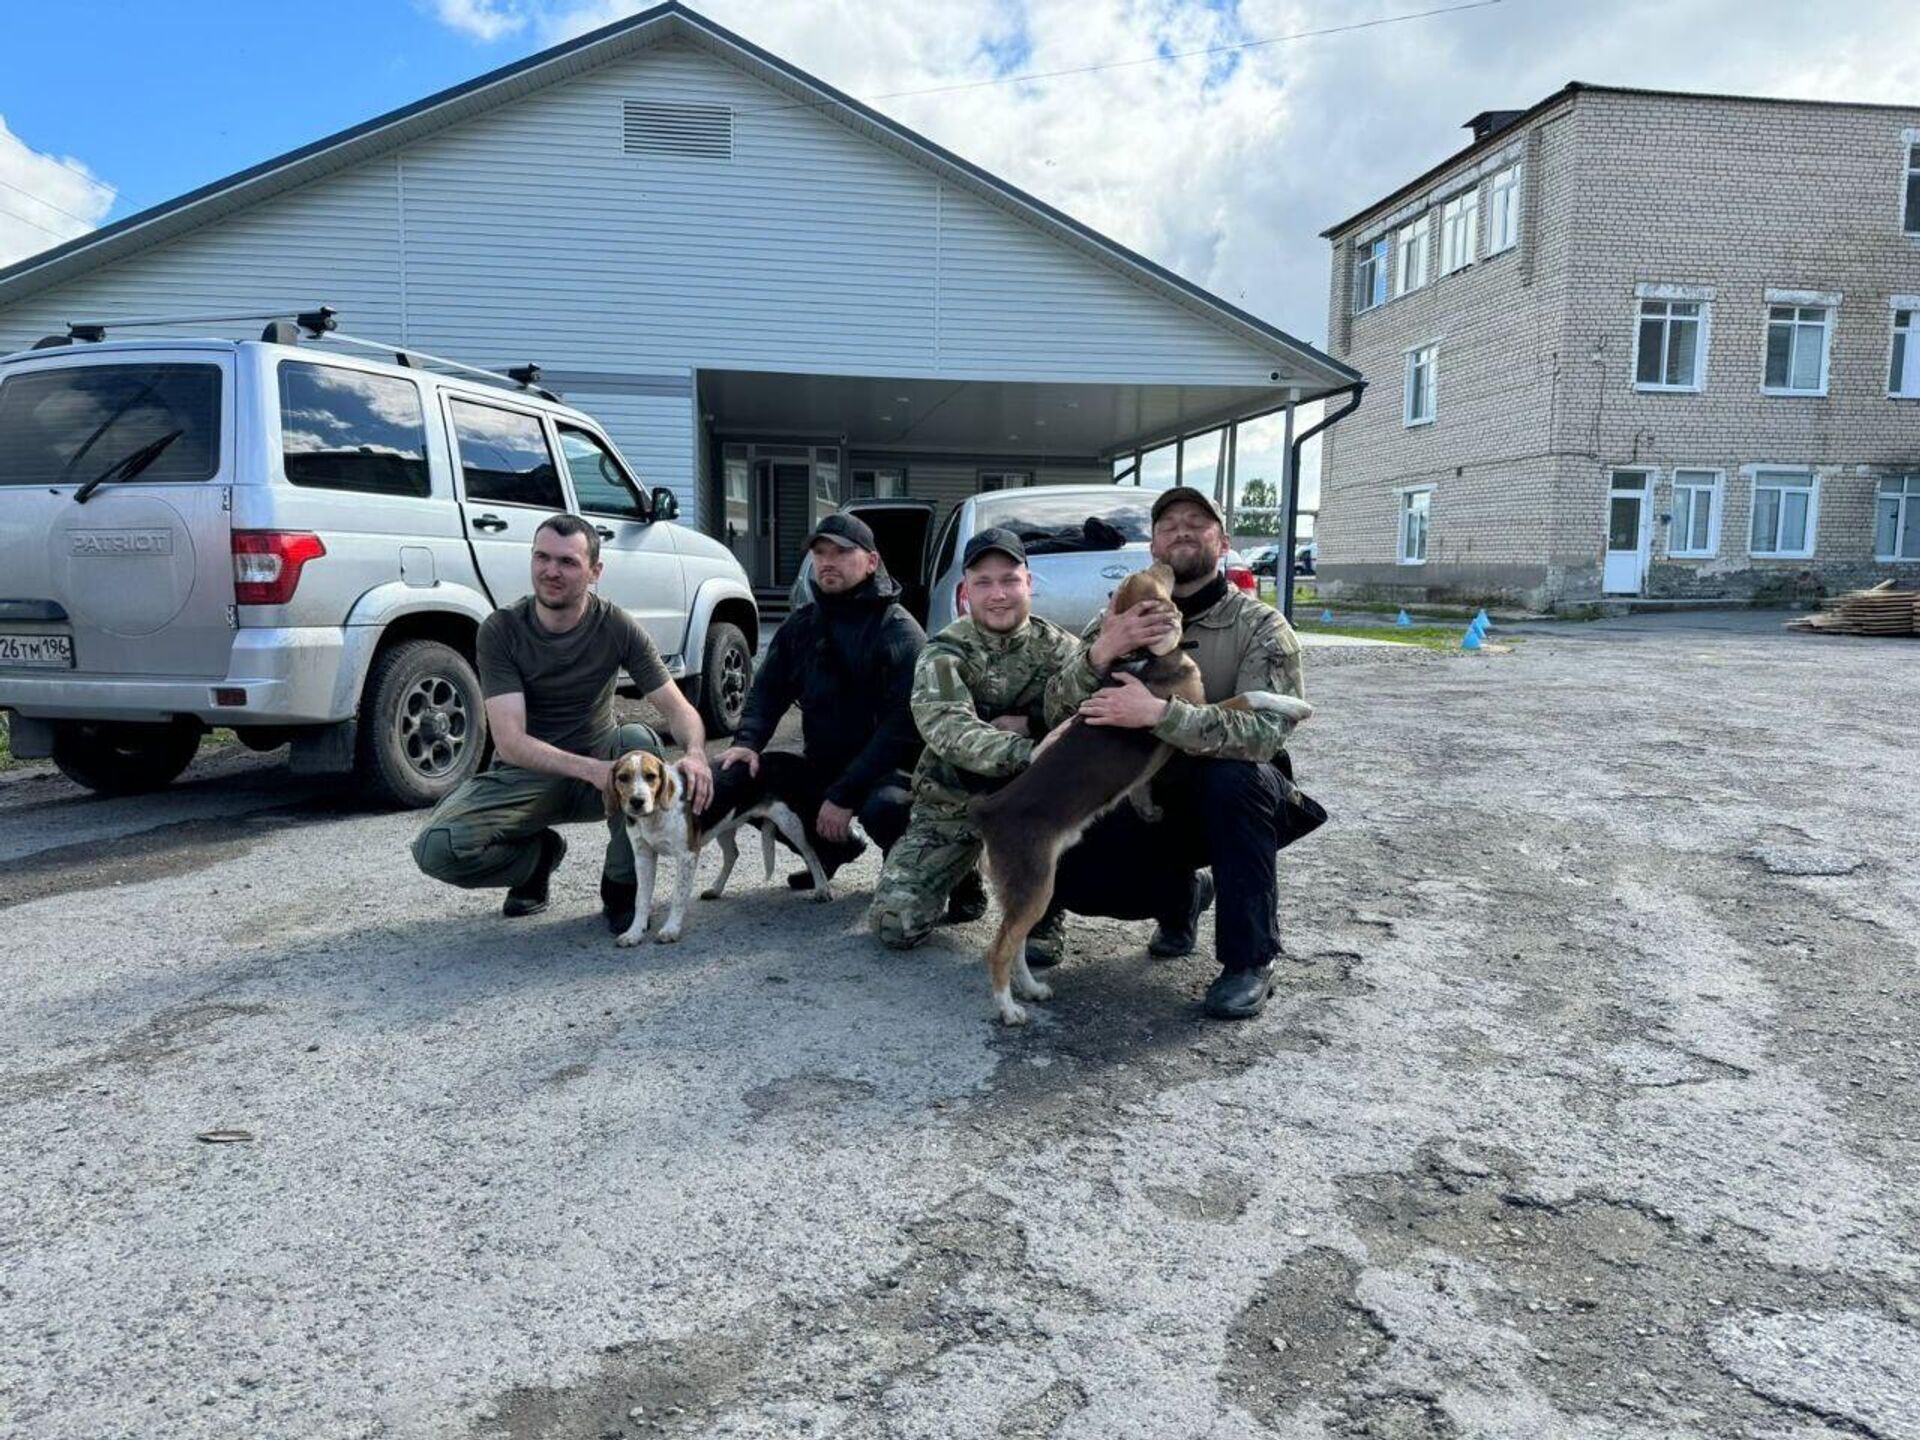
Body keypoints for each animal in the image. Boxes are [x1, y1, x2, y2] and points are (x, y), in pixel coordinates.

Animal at [606, 756, 833, 948]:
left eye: (651, 776)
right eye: (623, 777)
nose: (637, 801)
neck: (654, 816)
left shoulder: (686, 856)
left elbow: (678, 896)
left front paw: (671, 929)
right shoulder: (643, 857)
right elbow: (641, 899)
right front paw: (635, 933)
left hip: (791, 823)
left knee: (811, 853)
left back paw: (822, 889)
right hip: (724, 827)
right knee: (732, 854)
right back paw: (716, 889)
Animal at [967, 564, 1313, 1029]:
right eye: (1153, 574)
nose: (1164, 563)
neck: (1143, 656)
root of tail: (991, 810)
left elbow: (1146, 785)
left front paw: (1147, 808)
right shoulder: (1199, 711)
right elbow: (1251, 696)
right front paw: (1295, 706)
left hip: (1025, 889)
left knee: (1015, 943)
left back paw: (1032, 989)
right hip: (1034, 883)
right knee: (1000, 949)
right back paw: (1008, 1008)